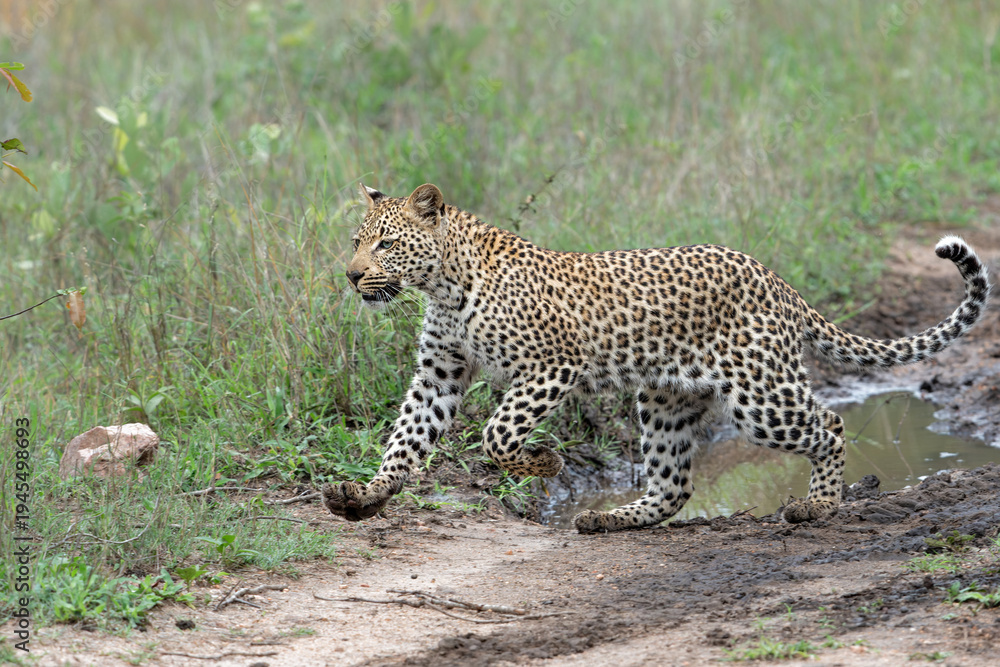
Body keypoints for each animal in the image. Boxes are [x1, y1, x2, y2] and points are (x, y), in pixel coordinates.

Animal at [324, 182, 991, 533]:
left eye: (386, 243)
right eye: (356, 241)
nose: (352, 275)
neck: (442, 283)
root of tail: (776, 279)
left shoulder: (551, 364)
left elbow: (497, 433)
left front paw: (542, 464)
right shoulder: (439, 374)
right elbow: (406, 440)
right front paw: (366, 497)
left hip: (760, 393)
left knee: (828, 423)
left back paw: (819, 505)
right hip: (667, 397)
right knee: (673, 483)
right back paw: (611, 518)